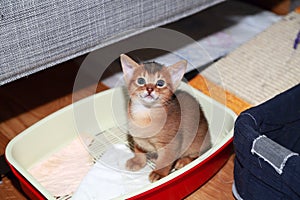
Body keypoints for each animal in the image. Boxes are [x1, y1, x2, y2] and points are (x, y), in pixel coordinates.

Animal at [119, 54, 211, 182]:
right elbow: (139, 151)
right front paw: (137, 162)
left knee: (197, 155)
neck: (146, 115)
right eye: (141, 81)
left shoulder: (171, 145)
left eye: (160, 83)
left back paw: (183, 161)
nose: (149, 89)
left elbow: (165, 160)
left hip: (196, 144)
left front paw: (159, 173)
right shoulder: (138, 139)